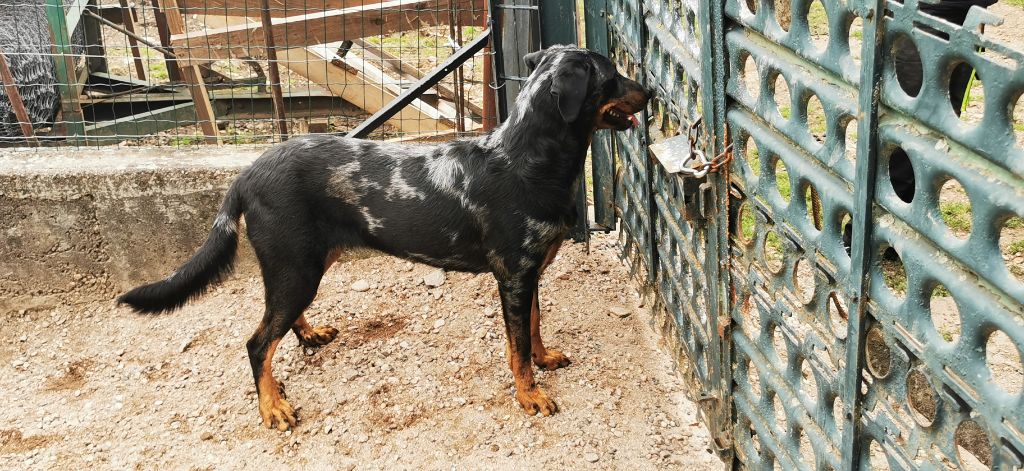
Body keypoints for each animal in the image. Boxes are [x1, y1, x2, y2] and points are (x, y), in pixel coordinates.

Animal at [117, 46, 647, 430]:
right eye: (614, 76)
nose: (651, 93)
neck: (525, 161)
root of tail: (247, 172)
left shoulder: (529, 274)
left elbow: (534, 328)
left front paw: (544, 358)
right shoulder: (513, 277)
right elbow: (516, 348)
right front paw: (530, 395)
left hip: (305, 264)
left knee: (278, 323)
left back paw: (309, 334)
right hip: (296, 267)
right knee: (257, 343)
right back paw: (272, 407)